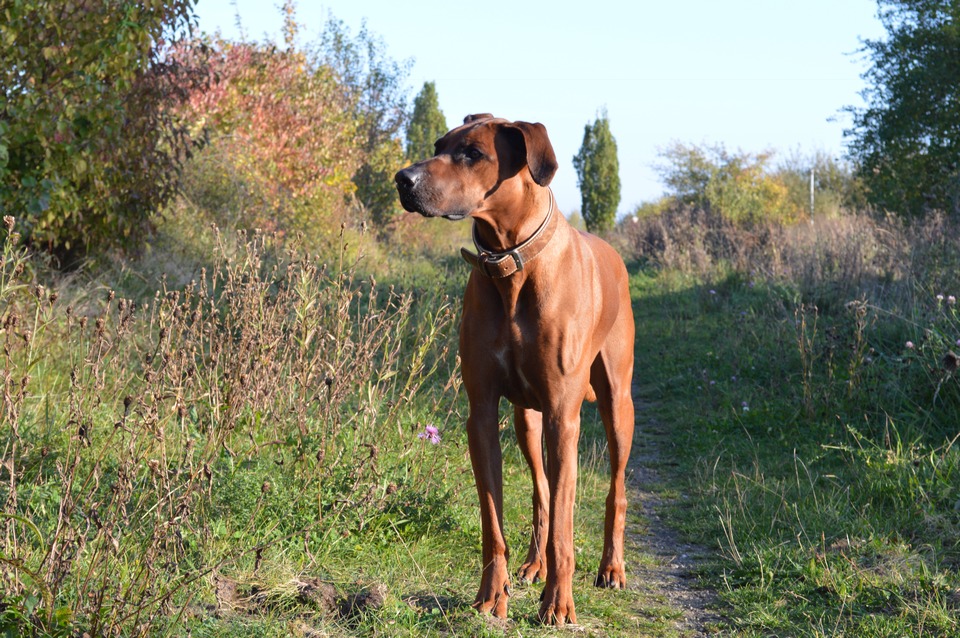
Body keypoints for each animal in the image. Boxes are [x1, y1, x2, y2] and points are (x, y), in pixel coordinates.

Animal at [394, 114, 632, 624]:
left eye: (473, 154)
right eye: (438, 145)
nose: (403, 179)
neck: (511, 267)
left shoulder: (564, 416)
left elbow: (565, 526)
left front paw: (559, 603)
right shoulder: (481, 414)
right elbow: (493, 520)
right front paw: (491, 595)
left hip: (617, 404)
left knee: (614, 489)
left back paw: (611, 568)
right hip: (527, 419)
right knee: (541, 489)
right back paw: (533, 565)